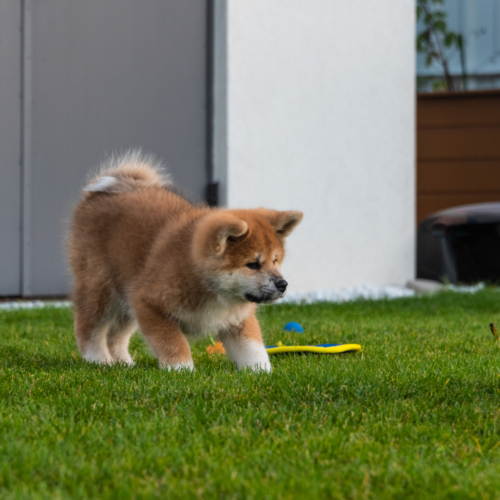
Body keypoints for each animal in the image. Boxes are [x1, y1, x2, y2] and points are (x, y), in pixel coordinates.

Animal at [66, 152, 300, 372]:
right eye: (252, 264)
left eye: (275, 261)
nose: (283, 284)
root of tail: (95, 195)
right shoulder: (149, 303)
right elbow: (172, 341)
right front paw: (181, 369)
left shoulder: (238, 318)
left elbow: (253, 347)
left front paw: (261, 372)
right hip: (101, 291)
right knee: (88, 329)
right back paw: (99, 361)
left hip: (127, 299)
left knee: (115, 335)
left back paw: (124, 363)